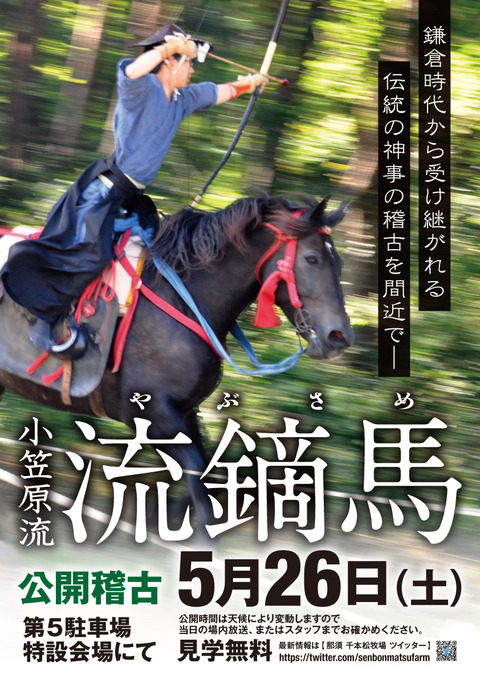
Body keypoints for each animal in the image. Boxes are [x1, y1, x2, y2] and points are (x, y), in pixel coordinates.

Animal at [0, 194, 354, 534]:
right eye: (312, 259)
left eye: (338, 262)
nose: (339, 336)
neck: (182, 300)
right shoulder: (152, 415)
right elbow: (198, 479)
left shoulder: (185, 411)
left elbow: (207, 476)